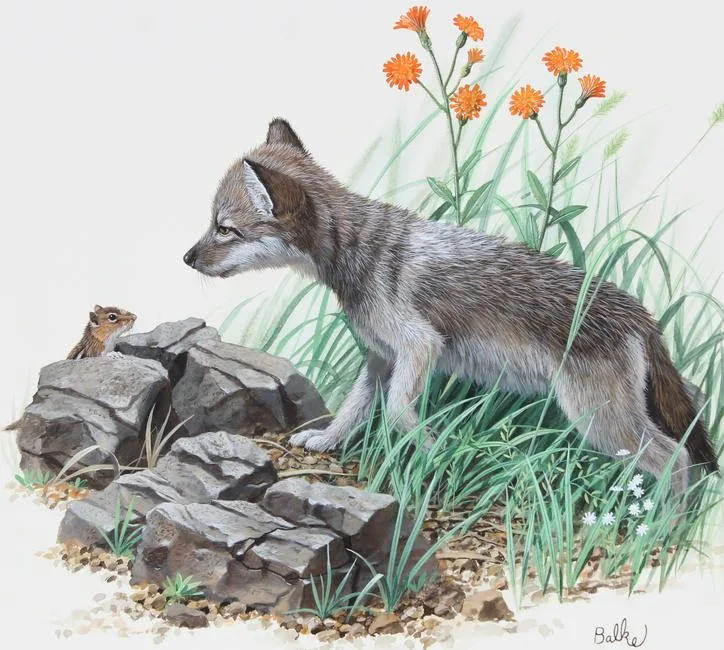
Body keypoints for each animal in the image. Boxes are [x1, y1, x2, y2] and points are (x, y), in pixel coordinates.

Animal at [183, 118, 718, 494]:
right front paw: (327, 439)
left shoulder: (420, 347)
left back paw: (659, 533)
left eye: (225, 229)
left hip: (599, 422)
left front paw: (431, 451)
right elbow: (354, 410)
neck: (358, 256)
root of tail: (640, 313)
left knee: (678, 461)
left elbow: (399, 413)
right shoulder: (381, 357)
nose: (186, 258)